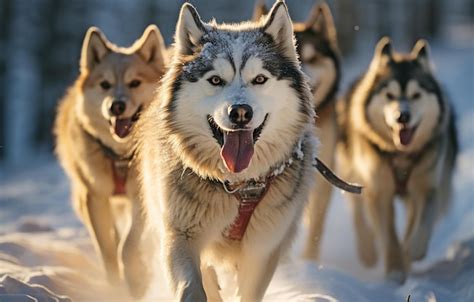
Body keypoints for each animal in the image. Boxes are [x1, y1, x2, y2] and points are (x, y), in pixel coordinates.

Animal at [54, 25, 167, 286]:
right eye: (105, 84)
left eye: (135, 83)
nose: (116, 106)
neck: (120, 157)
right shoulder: (94, 197)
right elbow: (108, 249)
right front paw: (116, 284)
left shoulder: (140, 196)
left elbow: (129, 245)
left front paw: (135, 279)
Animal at [135, 1, 316, 300]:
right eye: (216, 80)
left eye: (260, 79)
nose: (240, 112)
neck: (238, 185)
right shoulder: (180, 236)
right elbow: (193, 287)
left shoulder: (262, 250)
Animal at [338, 37, 458, 284]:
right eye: (390, 96)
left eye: (416, 95)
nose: (402, 117)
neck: (401, 155)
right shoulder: (379, 191)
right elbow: (388, 234)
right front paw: (394, 270)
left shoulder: (426, 187)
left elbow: (422, 221)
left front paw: (413, 250)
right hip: (351, 172)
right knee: (357, 212)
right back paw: (367, 251)